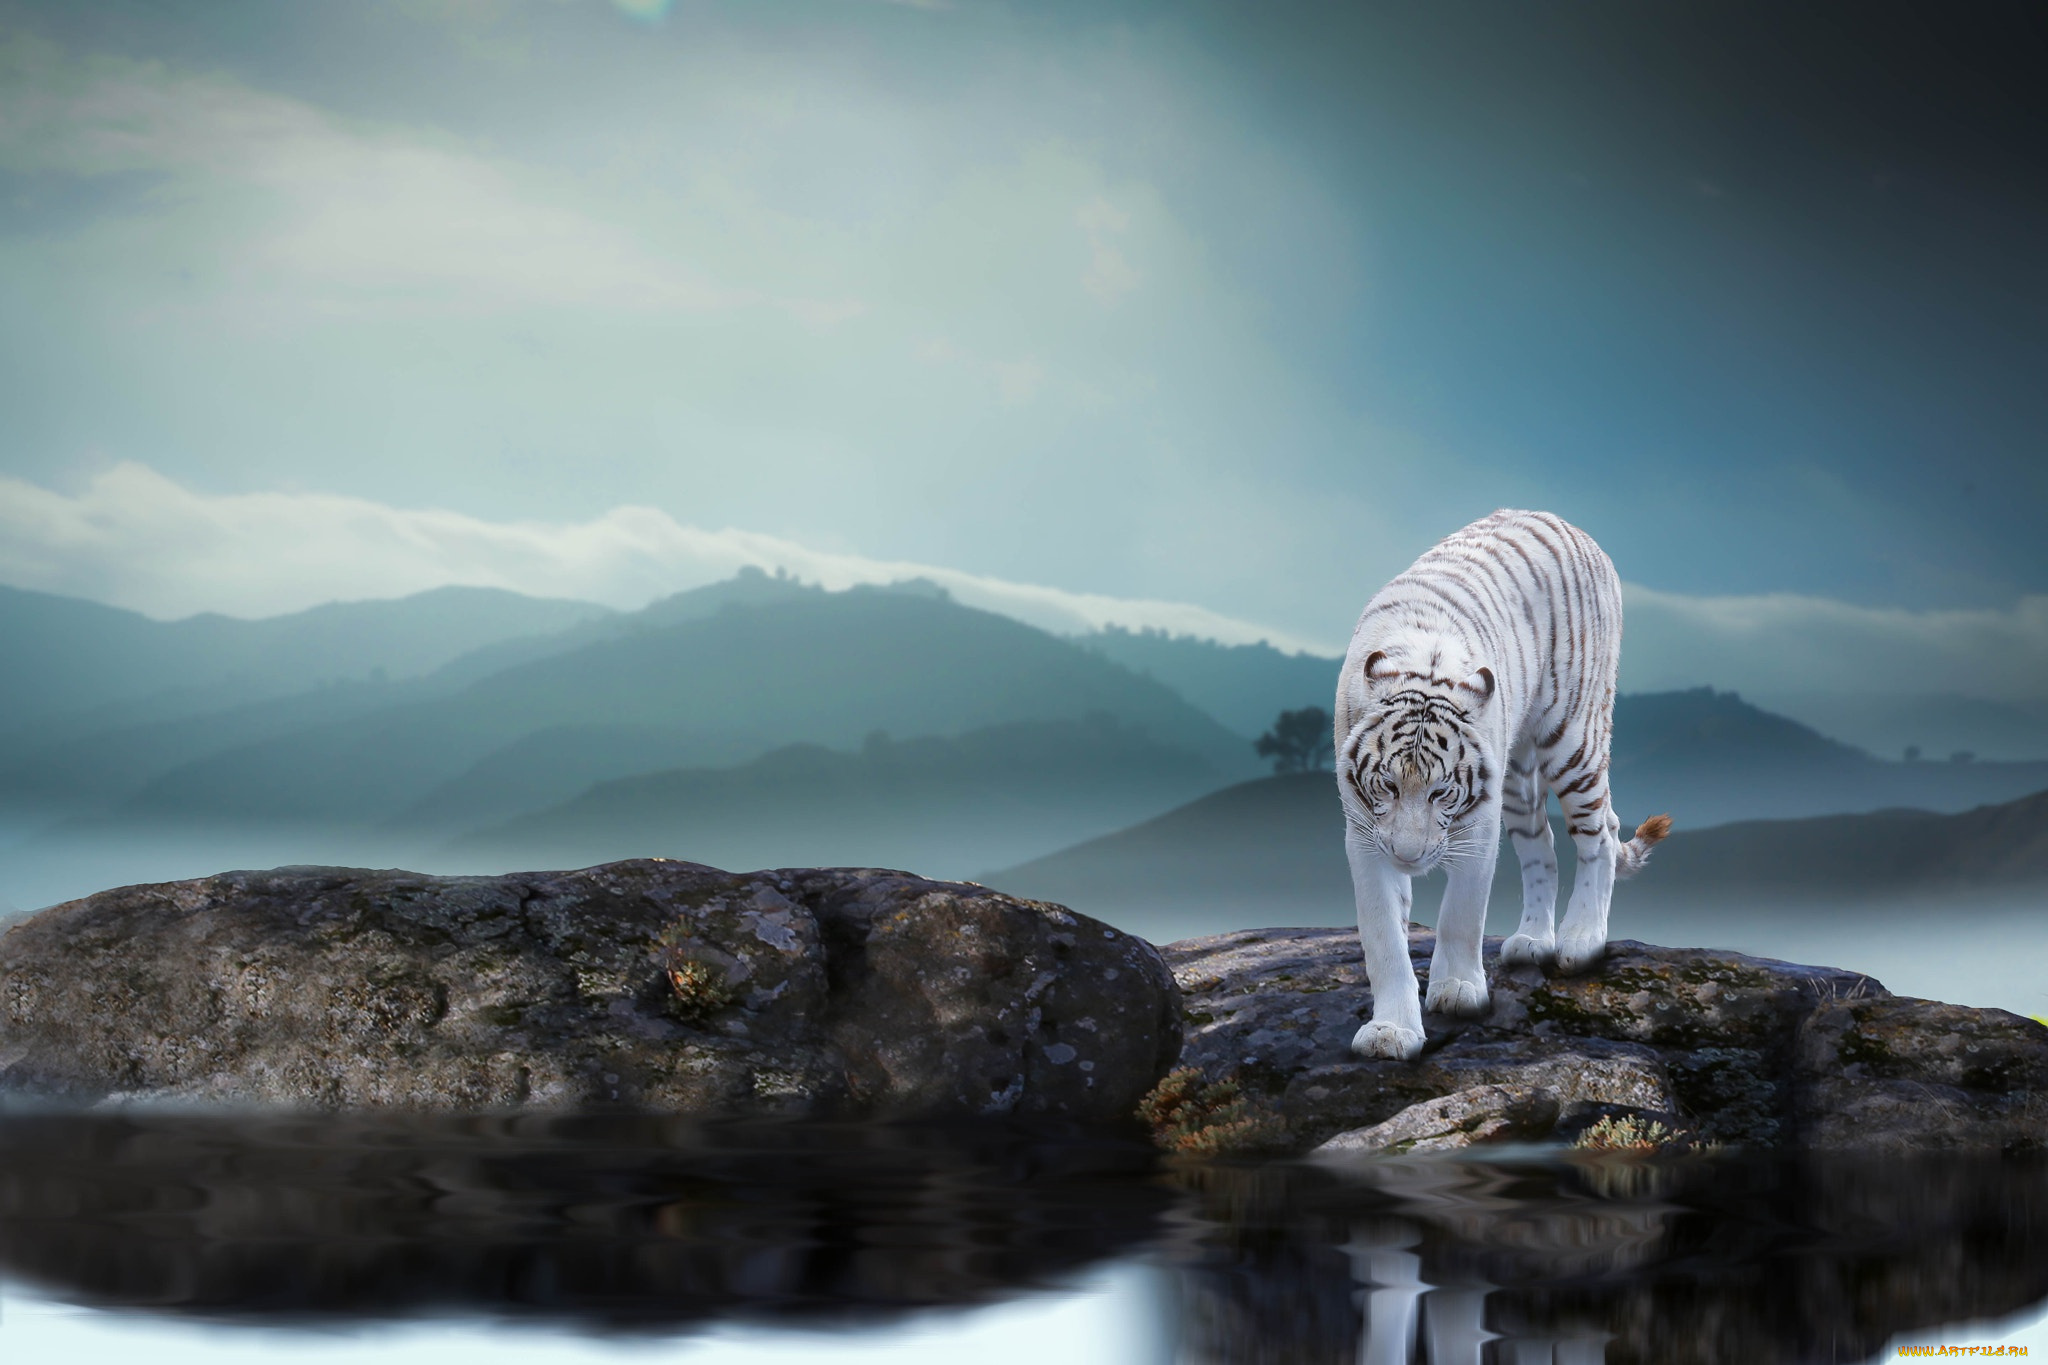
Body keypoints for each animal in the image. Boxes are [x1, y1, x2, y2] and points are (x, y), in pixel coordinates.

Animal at [1334, 508, 1672, 1061]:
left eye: (1441, 791)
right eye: (1386, 786)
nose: (1408, 856)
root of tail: (1571, 526)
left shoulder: (1477, 824)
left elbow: (1461, 915)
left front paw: (1457, 990)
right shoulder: (1364, 833)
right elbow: (1384, 937)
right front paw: (1391, 1031)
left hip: (1573, 738)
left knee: (1600, 831)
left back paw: (1580, 940)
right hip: (1517, 776)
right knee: (1544, 845)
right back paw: (1533, 941)